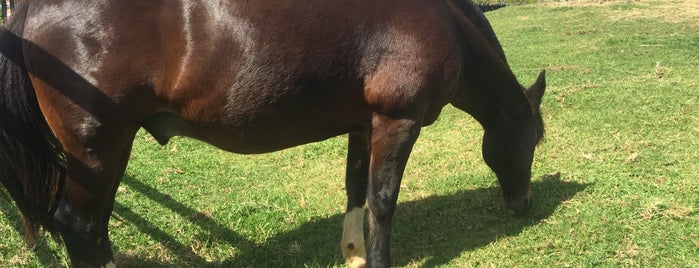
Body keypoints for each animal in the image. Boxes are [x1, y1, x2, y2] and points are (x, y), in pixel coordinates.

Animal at [0, 0, 548, 266]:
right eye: (534, 140)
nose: (524, 206)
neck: (446, 23)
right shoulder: (398, 121)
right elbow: (382, 201)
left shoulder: (363, 122)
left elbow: (355, 189)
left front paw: (353, 255)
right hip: (97, 148)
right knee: (79, 226)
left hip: (112, 149)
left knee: (93, 228)